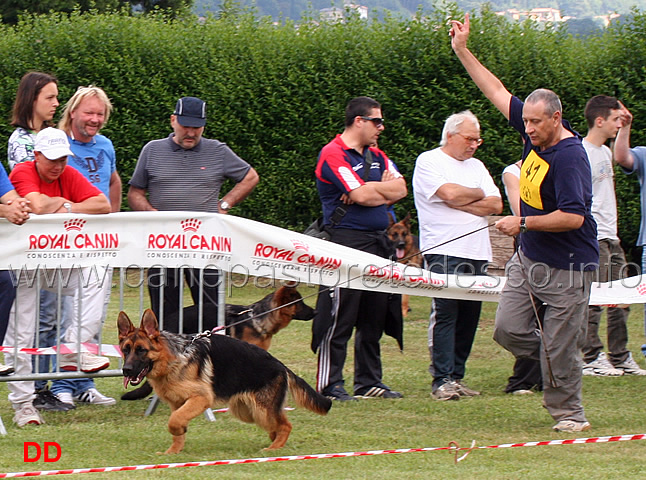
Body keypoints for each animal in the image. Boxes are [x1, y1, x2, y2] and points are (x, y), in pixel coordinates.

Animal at [119, 308, 334, 454]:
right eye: (125, 350)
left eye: (141, 350)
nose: (126, 370)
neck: (173, 358)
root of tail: (280, 365)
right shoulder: (178, 404)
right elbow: (177, 425)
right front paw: (173, 451)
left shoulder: (201, 399)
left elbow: (175, 421)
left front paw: (178, 433)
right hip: (247, 411)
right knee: (276, 426)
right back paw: (274, 444)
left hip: (260, 410)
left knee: (285, 426)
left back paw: (274, 449)